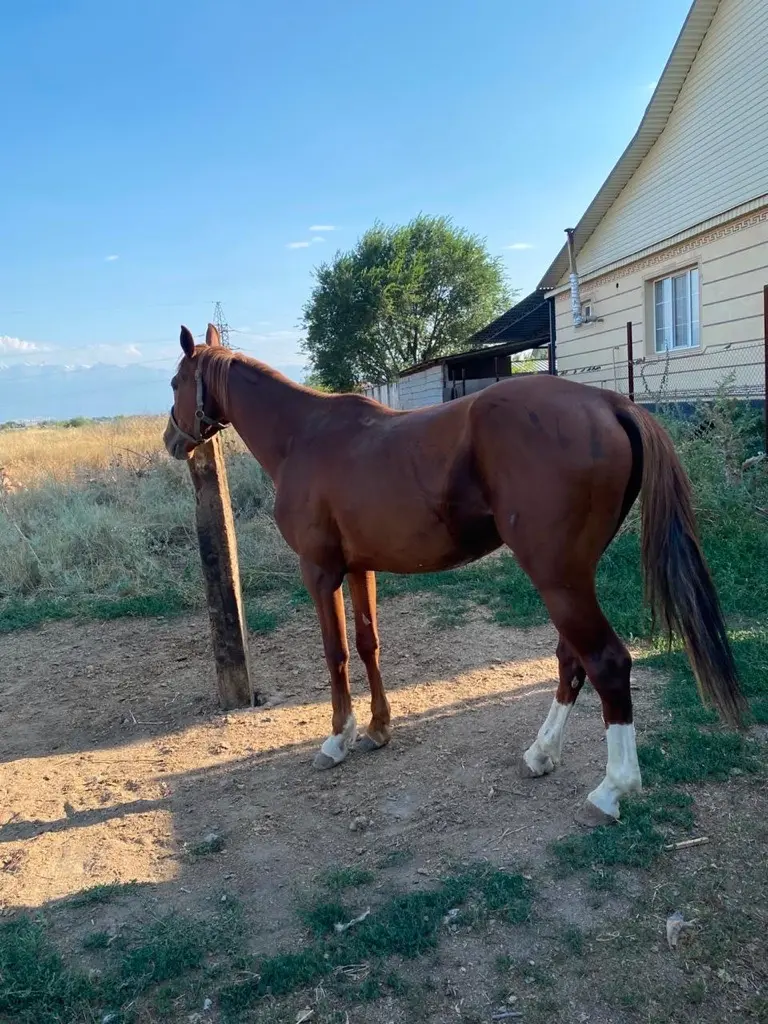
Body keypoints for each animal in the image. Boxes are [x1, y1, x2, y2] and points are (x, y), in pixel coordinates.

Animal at [164, 323, 747, 826]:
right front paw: (378, 728)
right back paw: (540, 754)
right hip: (572, 577)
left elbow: (336, 653)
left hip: (558, 579)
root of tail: (609, 402)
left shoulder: (321, 572)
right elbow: (368, 643)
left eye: (174, 382)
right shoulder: (360, 569)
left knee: (606, 662)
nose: (172, 439)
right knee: (571, 660)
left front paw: (338, 738)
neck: (302, 436)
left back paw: (611, 790)